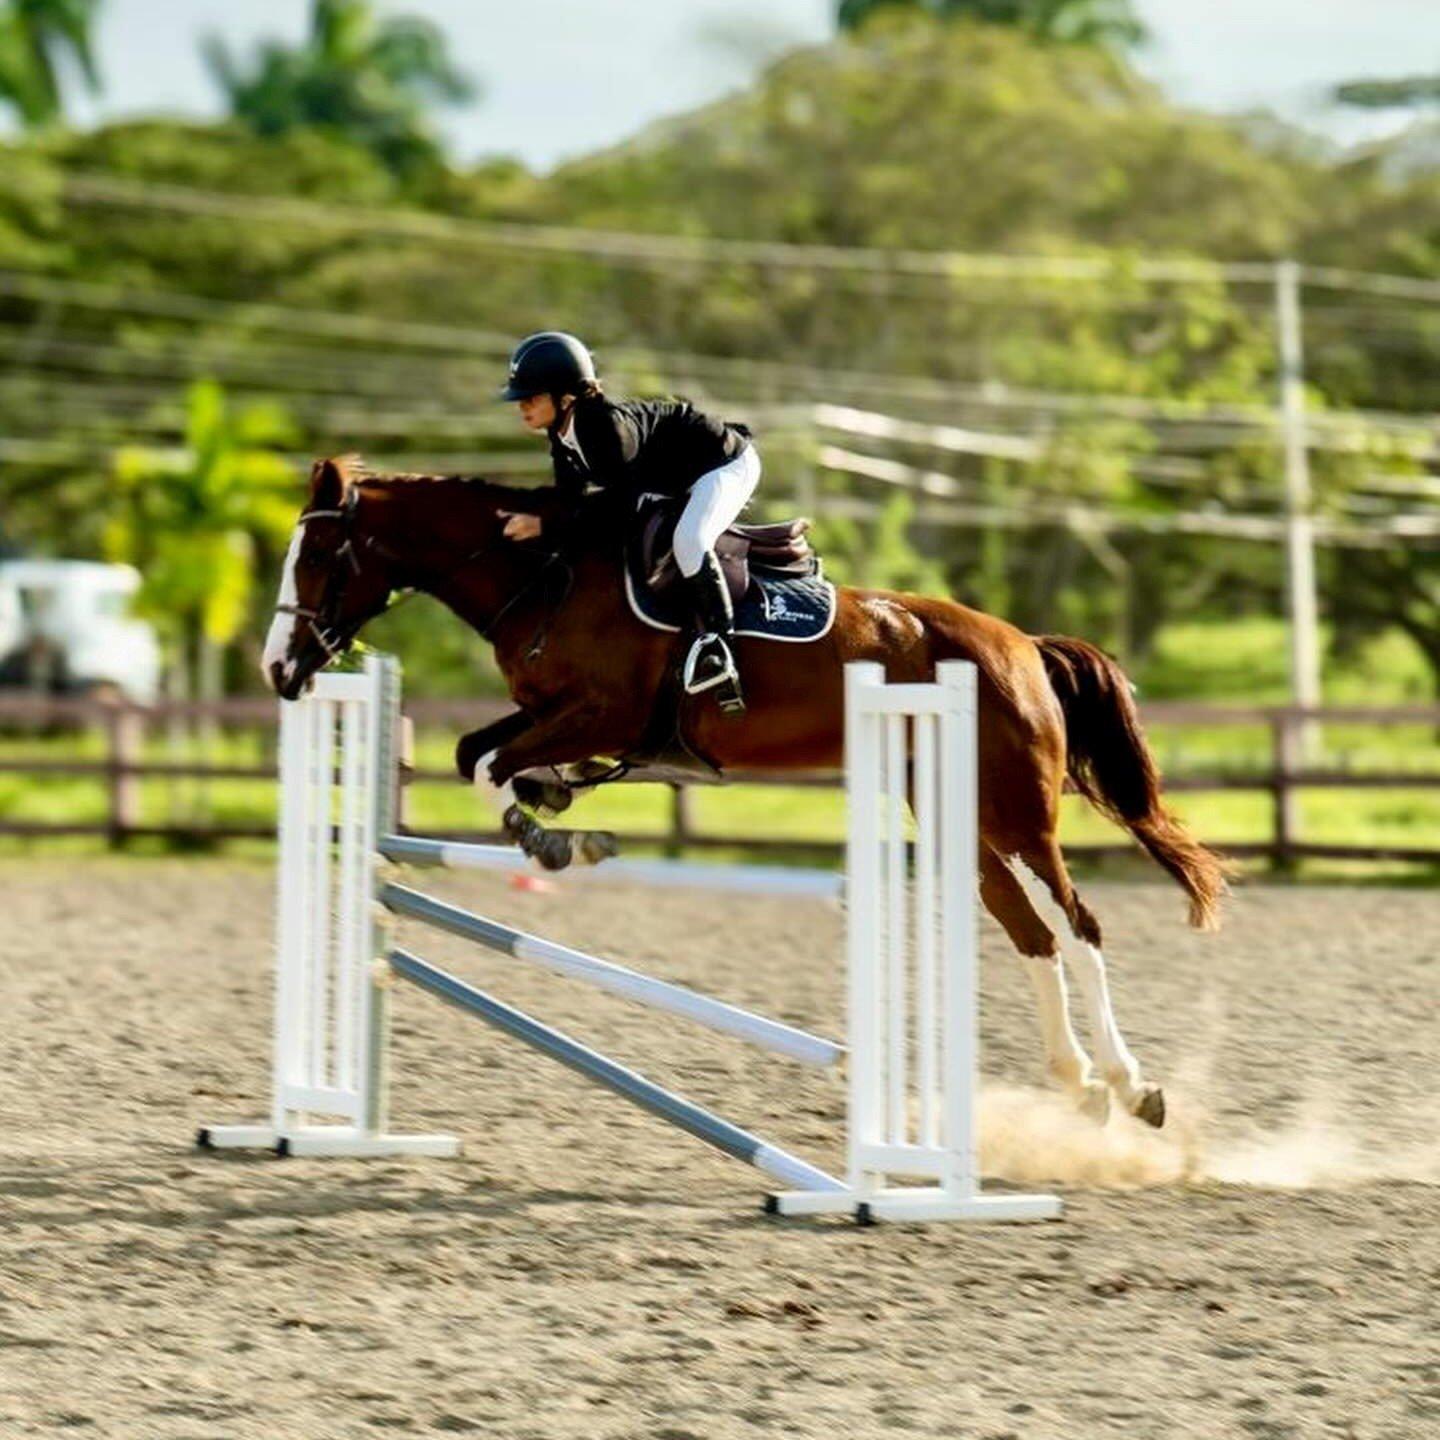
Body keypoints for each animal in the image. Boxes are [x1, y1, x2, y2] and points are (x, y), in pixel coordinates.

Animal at [262, 456, 1228, 1128]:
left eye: (318, 554)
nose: (278, 670)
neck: (542, 575)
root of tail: (1023, 643)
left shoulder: (602, 712)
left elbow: (493, 769)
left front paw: (552, 835)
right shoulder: (555, 714)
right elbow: (479, 753)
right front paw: (561, 807)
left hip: (1017, 812)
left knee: (1078, 924)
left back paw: (1132, 1086)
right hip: (961, 816)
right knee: (1032, 935)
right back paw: (1082, 1087)